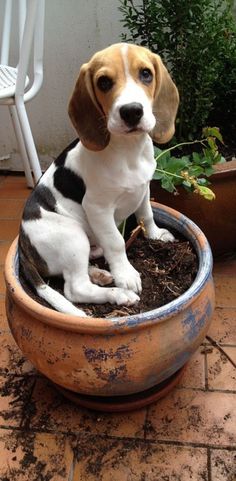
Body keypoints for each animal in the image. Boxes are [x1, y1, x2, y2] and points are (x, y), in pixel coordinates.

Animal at [19, 43, 179, 316]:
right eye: (104, 82)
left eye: (146, 74)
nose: (131, 111)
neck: (128, 150)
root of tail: (22, 244)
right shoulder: (98, 208)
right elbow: (116, 242)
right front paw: (126, 275)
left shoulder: (144, 188)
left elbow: (146, 214)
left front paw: (155, 235)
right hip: (73, 236)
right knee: (75, 288)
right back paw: (118, 294)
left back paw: (101, 274)